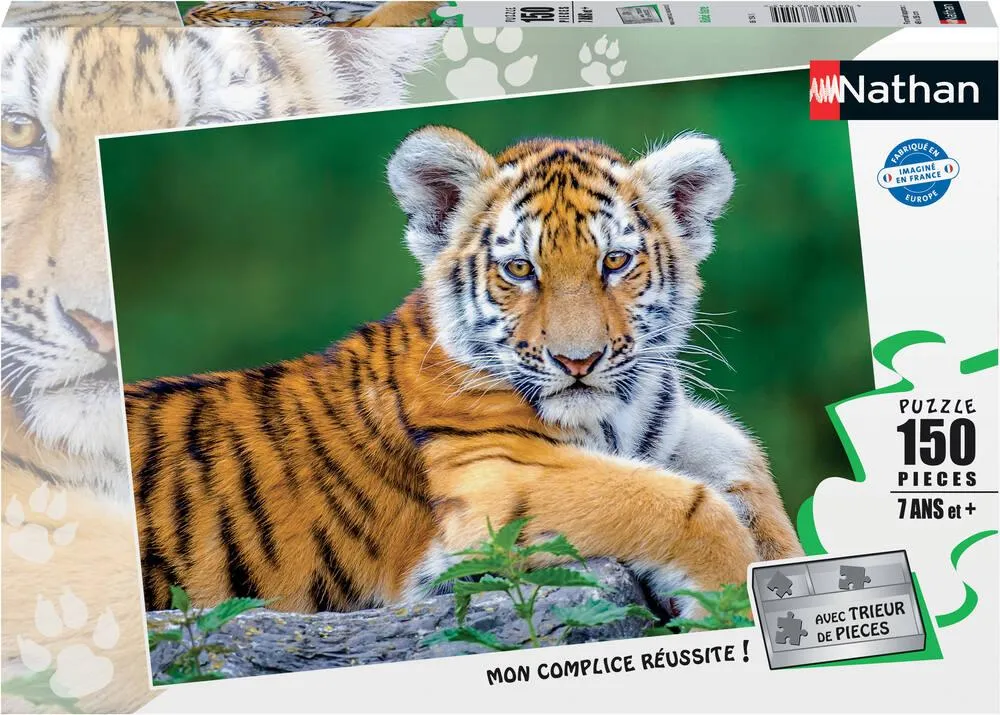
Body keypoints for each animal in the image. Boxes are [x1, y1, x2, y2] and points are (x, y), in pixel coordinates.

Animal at [126, 126, 804, 620]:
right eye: (520, 269)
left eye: (615, 262)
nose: (577, 361)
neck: (619, 415)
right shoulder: (495, 479)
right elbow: (683, 504)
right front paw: (729, 605)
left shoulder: (671, 429)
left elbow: (741, 459)